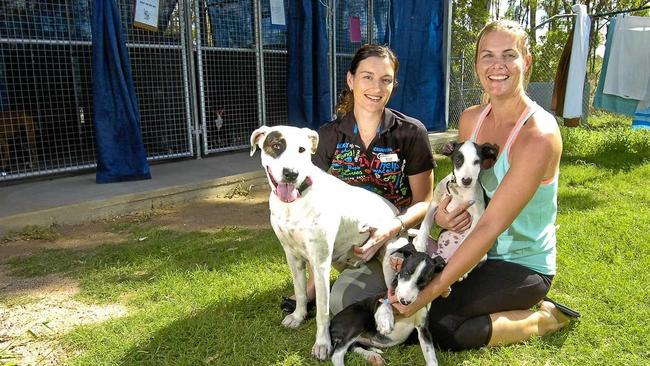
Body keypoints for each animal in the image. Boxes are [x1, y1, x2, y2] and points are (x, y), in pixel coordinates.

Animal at [248, 126, 410, 360]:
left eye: (302, 149)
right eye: (276, 145)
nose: (291, 173)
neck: (294, 204)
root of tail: (395, 210)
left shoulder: (320, 262)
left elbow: (323, 311)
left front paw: (322, 344)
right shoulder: (292, 256)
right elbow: (300, 291)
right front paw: (298, 316)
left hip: (390, 256)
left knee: (390, 291)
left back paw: (385, 318)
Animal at [412, 142, 498, 278]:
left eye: (477, 162)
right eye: (458, 160)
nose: (466, 180)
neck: (460, 190)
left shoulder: (478, 215)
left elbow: (467, 240)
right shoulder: (434, 204)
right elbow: (425, 224)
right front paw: (420, 244)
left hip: (482, 255)